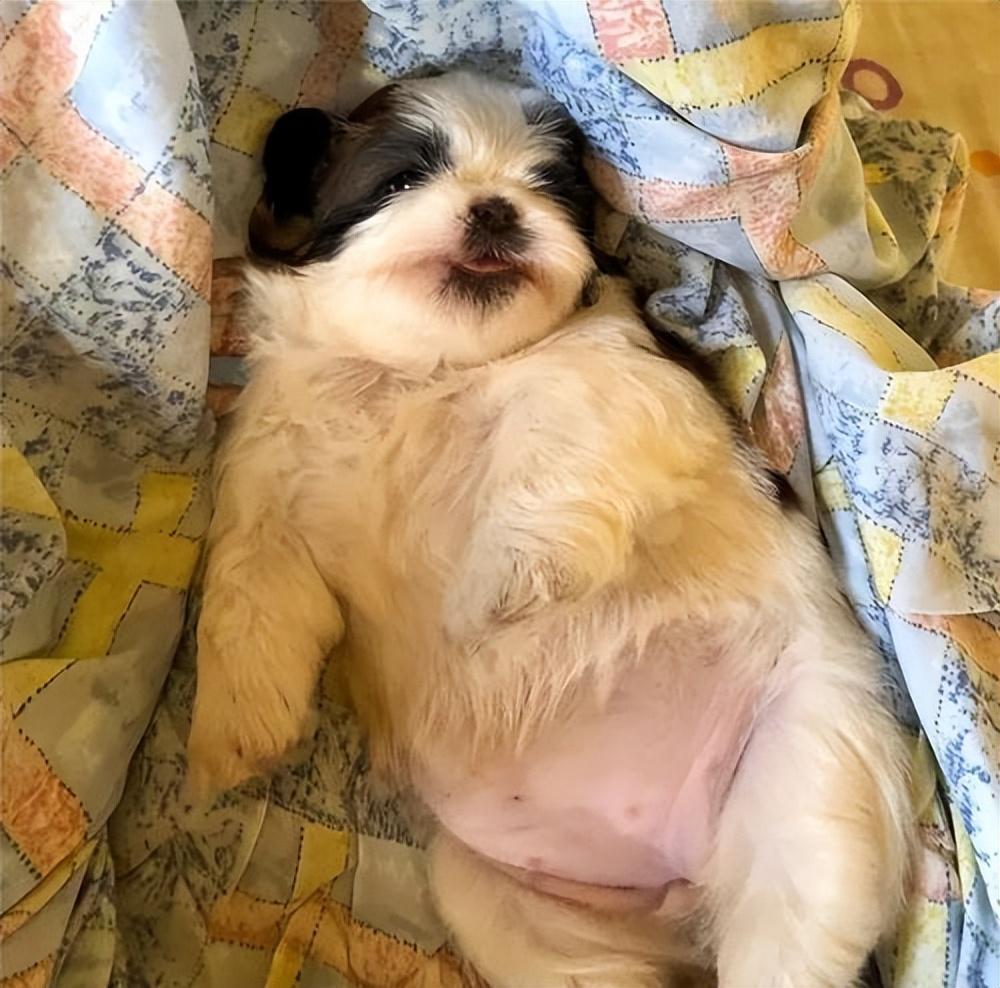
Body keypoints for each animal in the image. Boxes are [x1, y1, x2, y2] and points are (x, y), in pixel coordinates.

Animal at [188, 72, 913, 987]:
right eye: (401, 179)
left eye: (551, 190)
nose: (497, 208)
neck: (420, 373)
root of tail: (678, 872)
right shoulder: (269, 492)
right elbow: (249, 599)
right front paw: (232, 730)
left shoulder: (614, 382)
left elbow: (547, 441)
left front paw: (501, 588)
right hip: (506, 907)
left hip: (808, 782)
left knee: (785, 938)